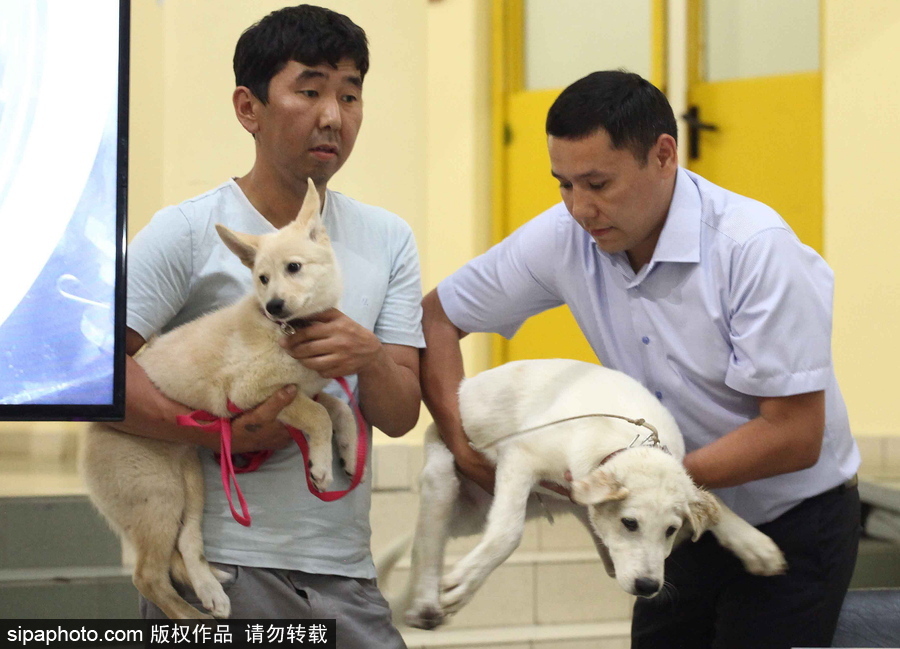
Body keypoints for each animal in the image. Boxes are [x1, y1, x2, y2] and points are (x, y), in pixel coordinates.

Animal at [79, 180, 356, 620]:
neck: (288, 330)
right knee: (148, 576)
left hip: (191, 484)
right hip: (158, 497)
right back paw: (192, 617)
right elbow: (317, 415)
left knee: (188, 545)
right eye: (262, 278)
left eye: (294, 268)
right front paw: (321, 466)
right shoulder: (249, 391)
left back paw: (211, 592)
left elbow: (338, 408)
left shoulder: (304, 386)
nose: (273, 306)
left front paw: (347, 452)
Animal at [402, 360, 788, 628]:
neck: (629, 443)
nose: (648, 586)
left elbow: (707, 496)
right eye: (630, 523)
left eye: (671, 531)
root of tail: (466, 385)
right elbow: (507, 532)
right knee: (424, 545)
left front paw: (753, 543)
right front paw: (466, 582)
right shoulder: (523, 455)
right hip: (443, 480)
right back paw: (424, 603)